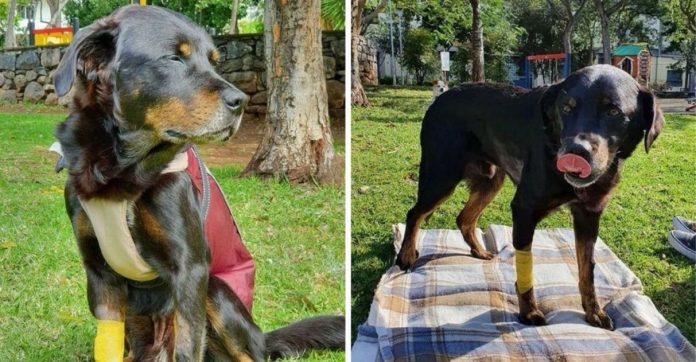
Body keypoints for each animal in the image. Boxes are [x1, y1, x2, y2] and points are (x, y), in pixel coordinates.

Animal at [55, 5, 344, 362]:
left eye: (213, 61)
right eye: (174, 58)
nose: (241, 100)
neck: (122, 168)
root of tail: (262, 338)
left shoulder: (190, 269)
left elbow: (186, 347)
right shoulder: (100, 274)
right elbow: (106, 344)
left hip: (216, 293)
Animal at [396, 63, 664, 330]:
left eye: (613, 111)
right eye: (566, 108)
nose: (575, 153)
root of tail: (439, 98)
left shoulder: (589, 216)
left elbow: (587, 271)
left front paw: (593, 311)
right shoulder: (524, 209)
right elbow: (526, 270)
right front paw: (528, 312)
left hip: (490, 181)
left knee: (464, 218)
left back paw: (479, 251)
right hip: (441, 177)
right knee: (415, 213)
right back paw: (406, 255)